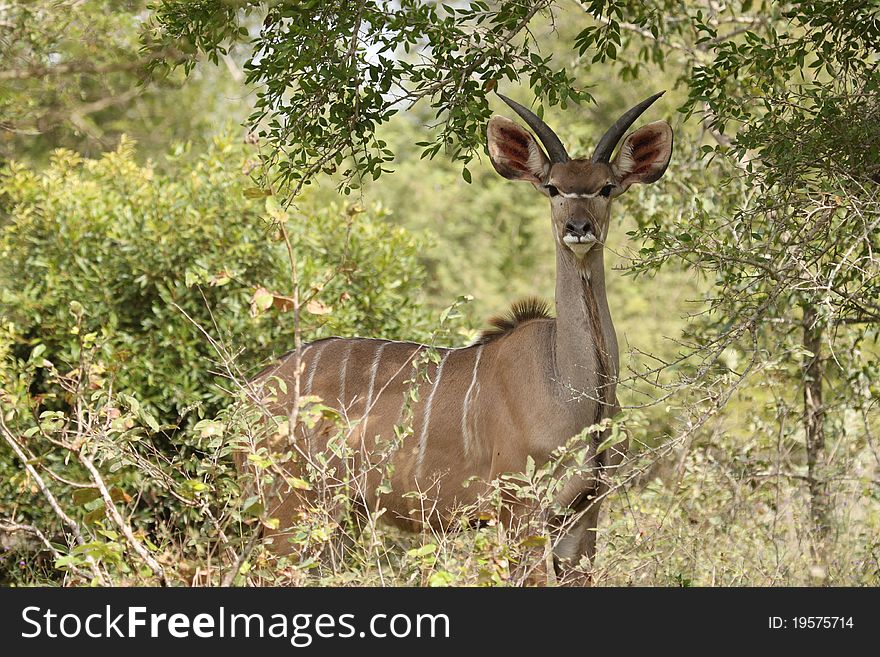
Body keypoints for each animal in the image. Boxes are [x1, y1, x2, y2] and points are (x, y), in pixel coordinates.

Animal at [254, 89, 672, 580]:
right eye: (553, 187)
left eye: (606, 187)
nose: (578, 228)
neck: (570, 385)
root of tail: (252, 390)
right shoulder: (520, 513)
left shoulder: (582, 520)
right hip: (292, 514)